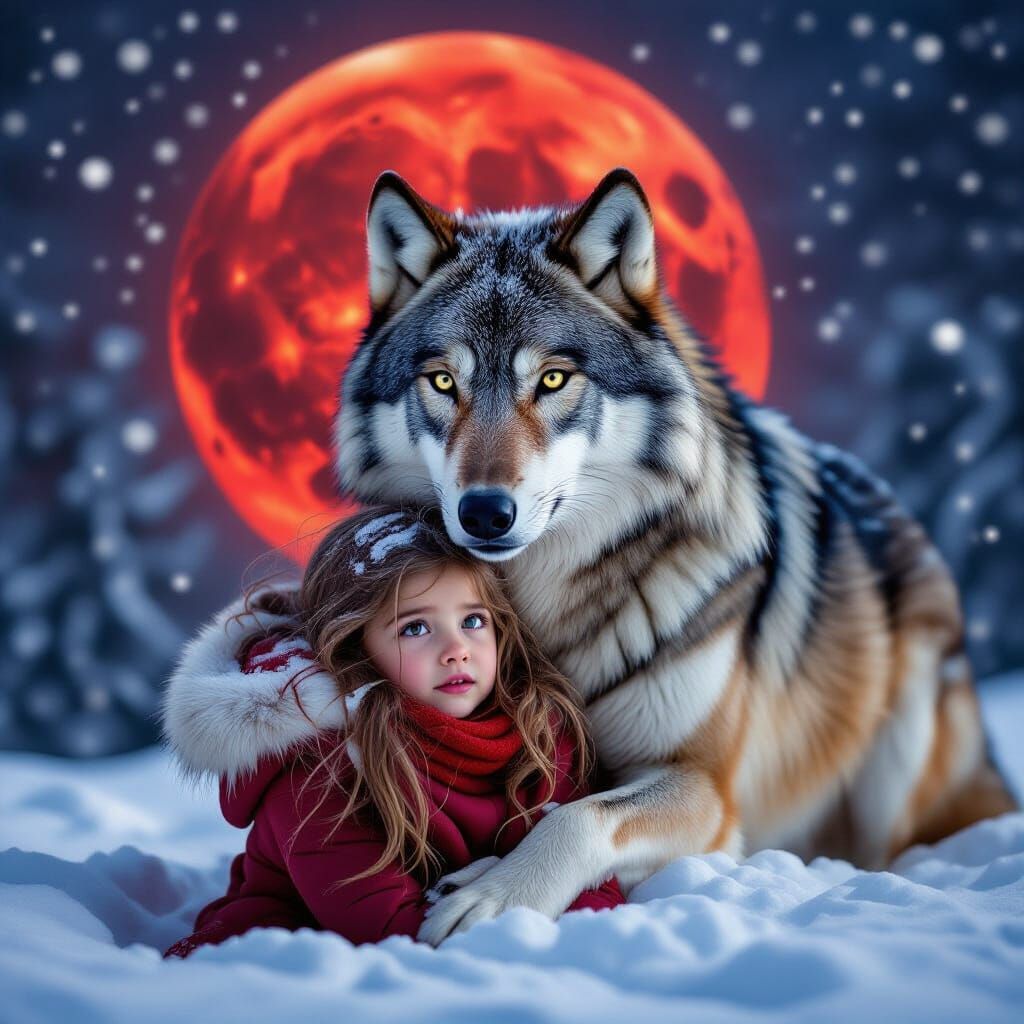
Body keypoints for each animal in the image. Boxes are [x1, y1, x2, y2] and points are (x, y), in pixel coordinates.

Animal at [162, 167, 1016, 945]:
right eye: (441, 381)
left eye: (552, 378)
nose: (484, 511)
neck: (544, 613)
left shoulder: (703, 783)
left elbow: (577, 817)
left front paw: (495, 895)